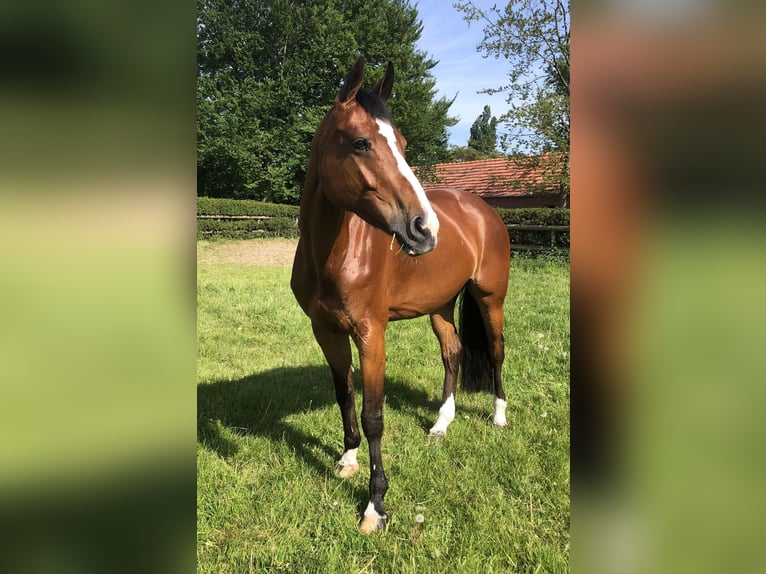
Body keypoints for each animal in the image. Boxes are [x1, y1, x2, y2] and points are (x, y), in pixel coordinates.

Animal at [291, 56, 511, 534]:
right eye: (360, 143)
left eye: (404, 144)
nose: (425, 228)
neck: (335, 253)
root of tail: (482, 210)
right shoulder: (327, 332)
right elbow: (345, 396)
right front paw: (347, 458)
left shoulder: (371, 334)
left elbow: (374, 416)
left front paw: (375, 505)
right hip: (440, 306)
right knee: (453, 352)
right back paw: (441, 425)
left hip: (490, 299)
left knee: (496, 352)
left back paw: (500, 416)